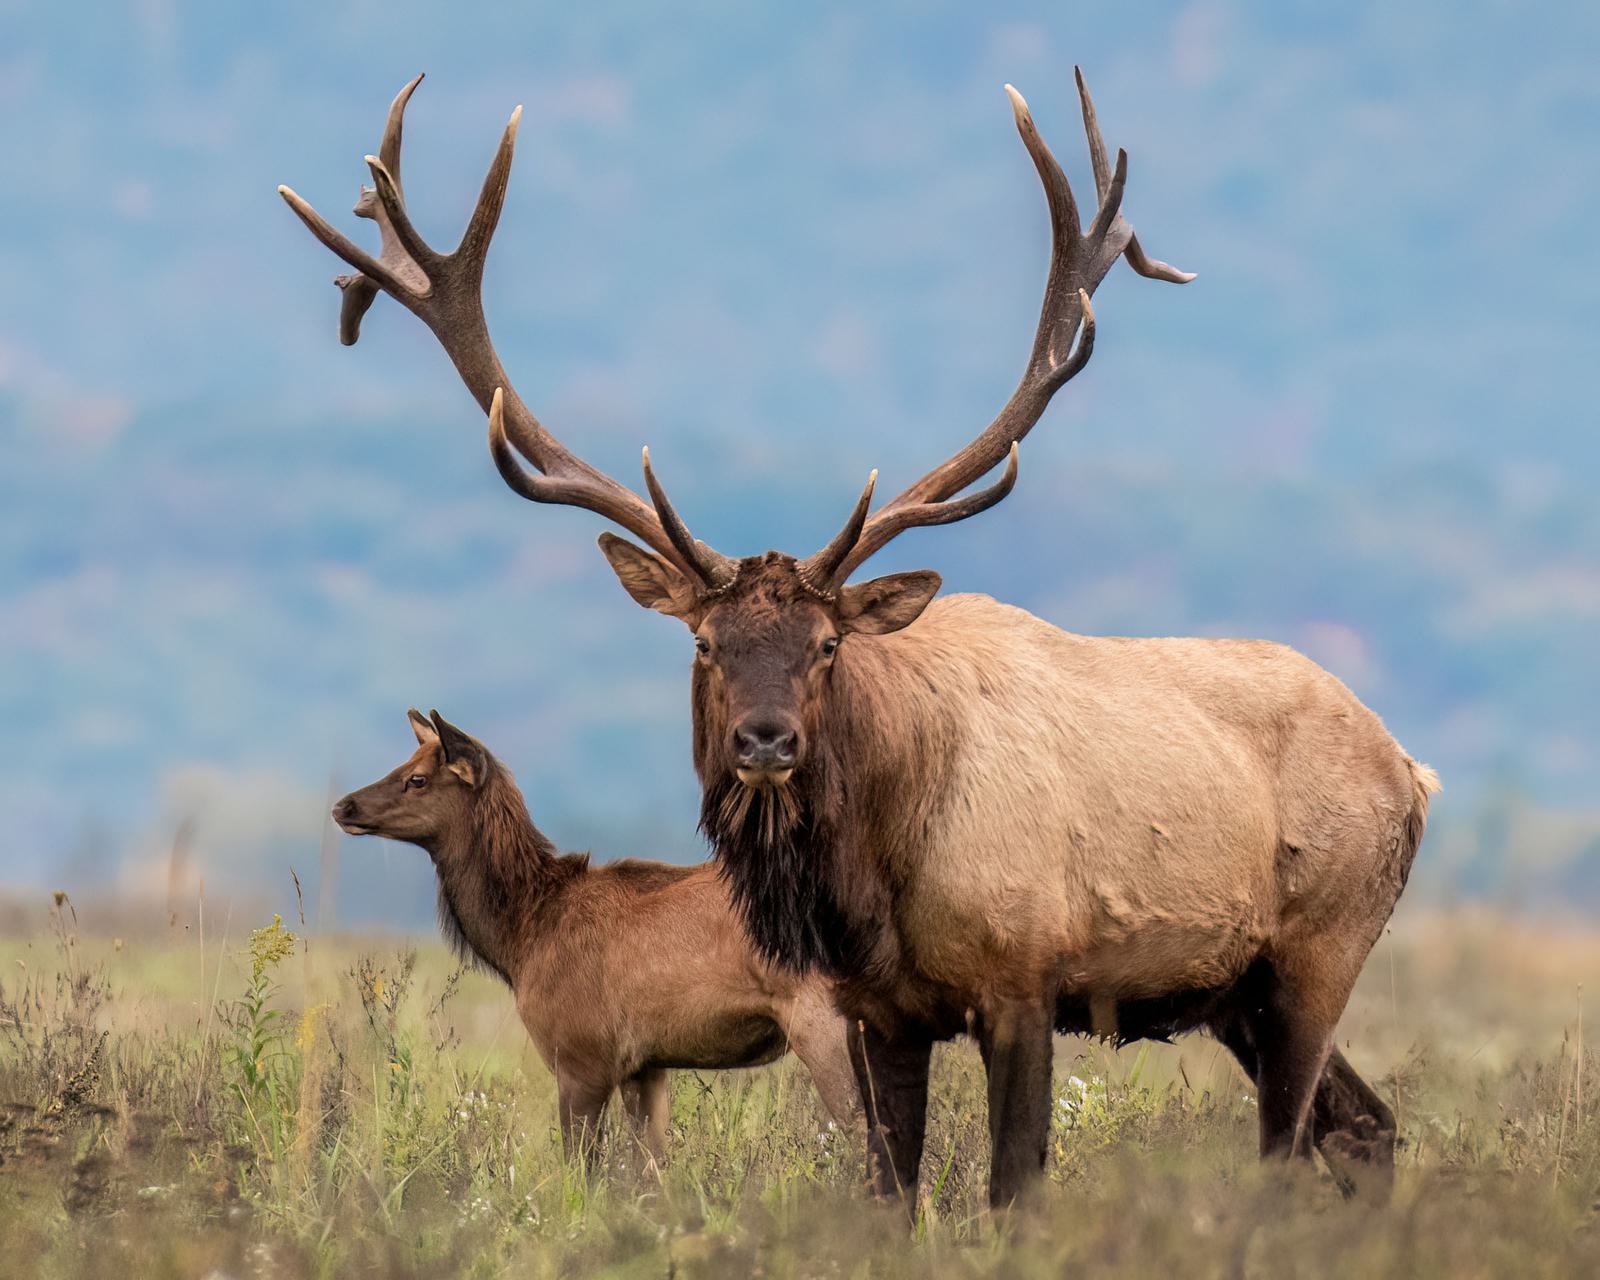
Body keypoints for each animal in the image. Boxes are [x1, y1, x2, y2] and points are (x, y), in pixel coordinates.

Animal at [331, 710, 860, 1165]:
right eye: (402, 764)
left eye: (417, 778)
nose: (342, 805)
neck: (522, 936)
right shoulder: (644, 1064)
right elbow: (651, 1168)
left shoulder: (580, 1053)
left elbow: (581, 1170)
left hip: (825, 1025)